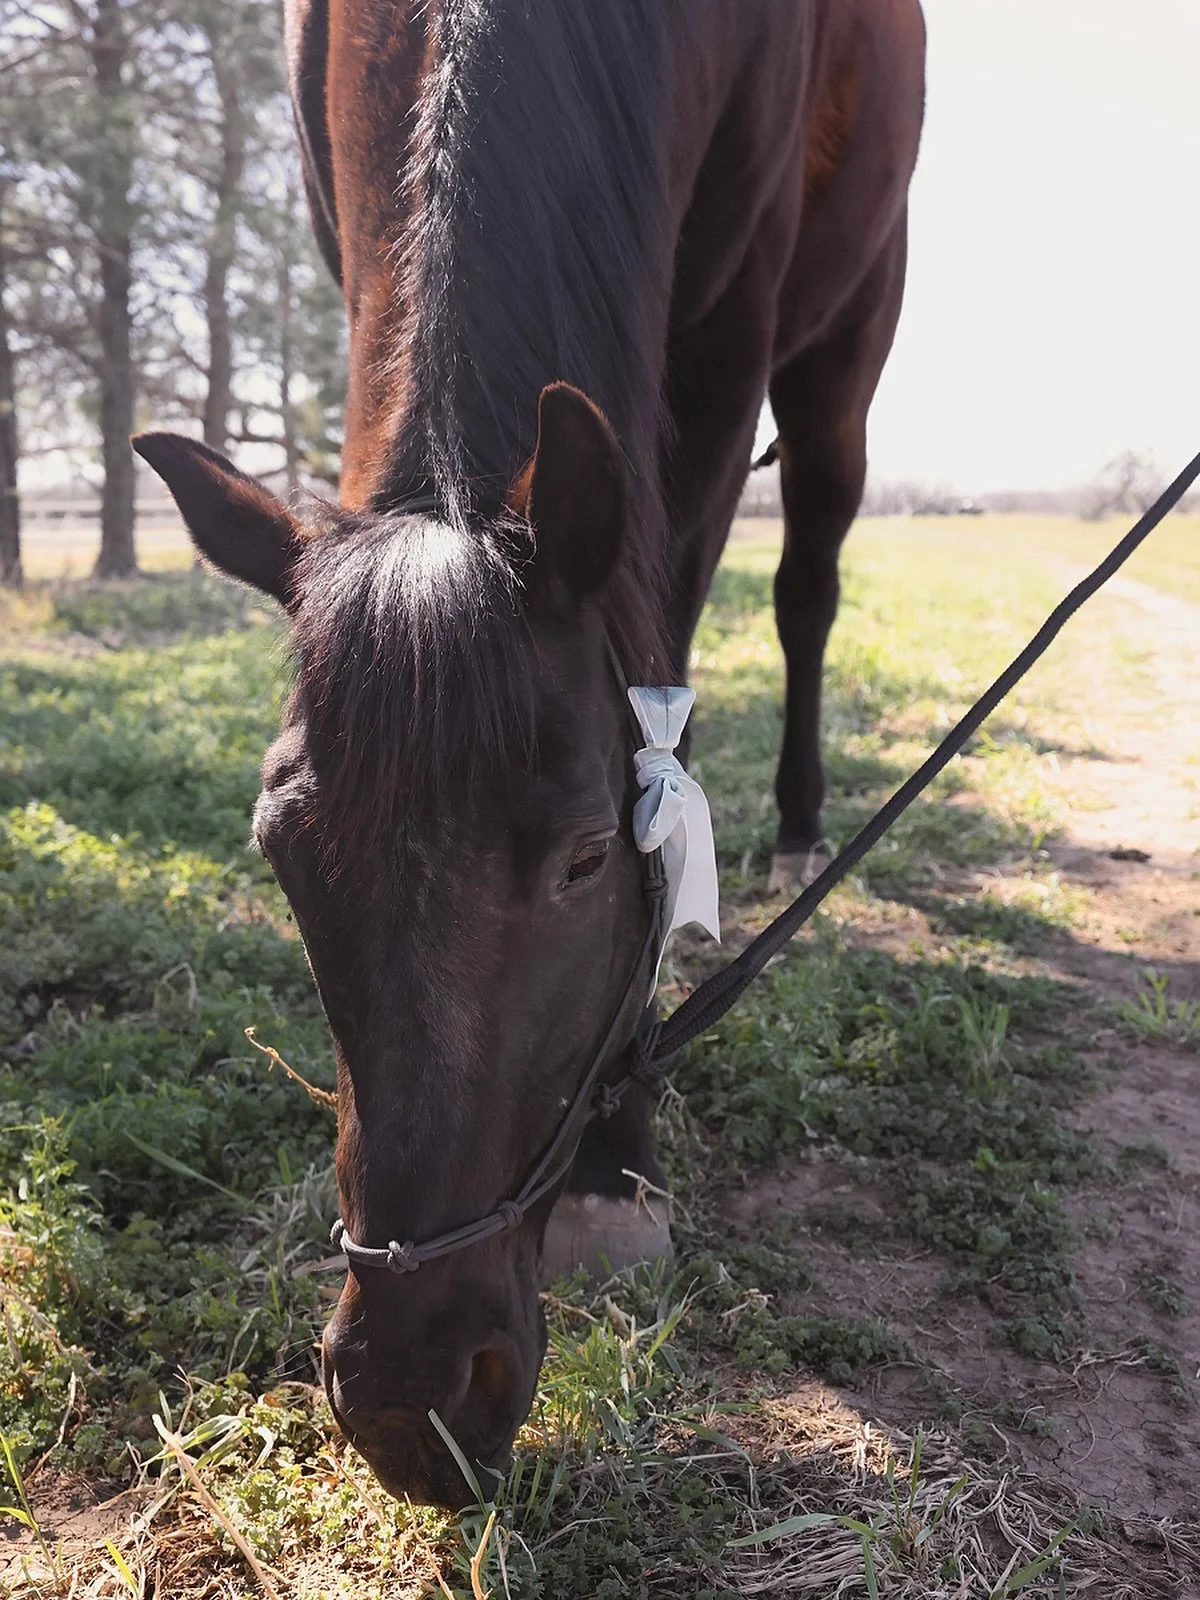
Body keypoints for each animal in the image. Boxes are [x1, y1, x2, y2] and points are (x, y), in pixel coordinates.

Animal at [134, 0, 925, 1506]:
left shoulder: (718, 355)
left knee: (809, 579)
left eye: (586, 855)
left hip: (846, 343)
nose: (413, 1395)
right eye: (279, 848)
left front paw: (618, 1159)